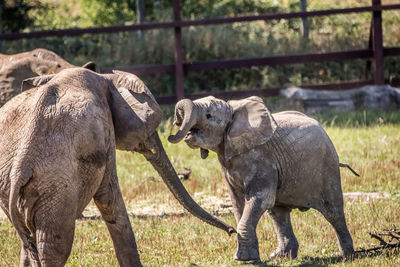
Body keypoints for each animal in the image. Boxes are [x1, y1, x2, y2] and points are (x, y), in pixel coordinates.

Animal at [0, 69, 234, 267]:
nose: (231, 231)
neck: (106, 77)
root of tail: (21, 165)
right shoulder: (104, 134)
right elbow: (110, 197)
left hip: (11, 185)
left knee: (29, 242)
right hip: (56, 184)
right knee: (54, 244)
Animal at [167, 96, 354, 262]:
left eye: (208, 115)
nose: (173, 128)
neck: (232, 109)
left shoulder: (261, 158)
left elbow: (261, 197)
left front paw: (243, 259)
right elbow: (238, 202)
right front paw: (248, 256)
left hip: (327, 166)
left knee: (333, 211)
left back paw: (348, 255)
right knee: (278, 213)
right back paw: (281, 256)